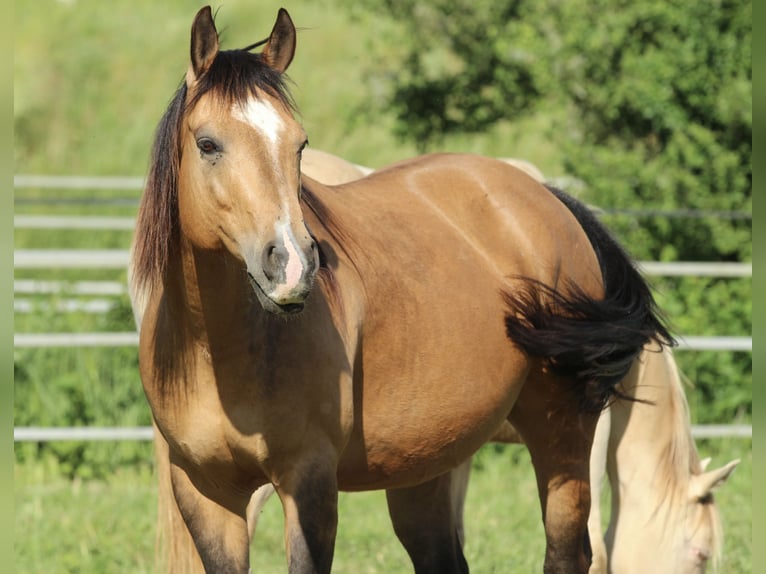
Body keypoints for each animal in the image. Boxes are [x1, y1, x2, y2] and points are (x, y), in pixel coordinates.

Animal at [130, 6, 673, 573]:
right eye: (208, 144)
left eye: (299, 145)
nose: (294, 265)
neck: (217, 350)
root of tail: (547, 197)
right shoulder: (205, 493)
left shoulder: (309, 483)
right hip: (429, 462)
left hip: (562, 434)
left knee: (567, 550)